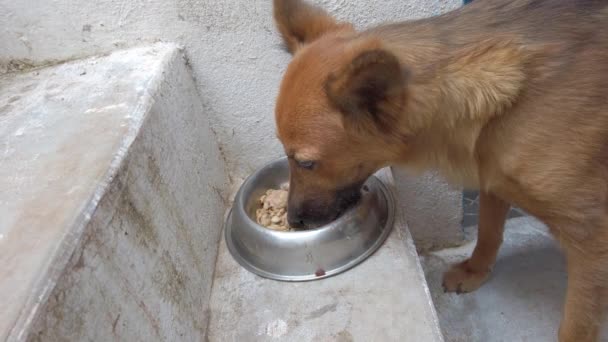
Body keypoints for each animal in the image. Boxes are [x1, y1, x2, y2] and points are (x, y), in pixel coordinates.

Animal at [274, 0, 608, 340]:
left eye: (306, 163)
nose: (293, 221)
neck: (510, 102)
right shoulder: (492, 180)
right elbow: (488, 232)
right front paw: (475, 271)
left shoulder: (592, 239)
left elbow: (577, 325)